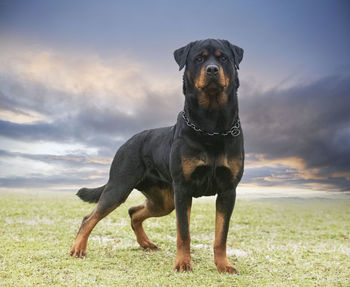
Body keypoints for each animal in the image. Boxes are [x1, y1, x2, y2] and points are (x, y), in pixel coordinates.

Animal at [70, 38, 245, 274]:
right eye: (199, 58)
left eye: (223, 58)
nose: (212, 69)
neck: (211, 126)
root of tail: (127, 142)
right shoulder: (183, 189)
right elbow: (184, 232)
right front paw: (183, 263)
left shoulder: (228, 190)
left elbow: (221, 235)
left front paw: (223, 265)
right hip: (119, 187)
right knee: (90, 217)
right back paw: (78, 248)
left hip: (163, 201)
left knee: (134, 212)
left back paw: (146, 243)